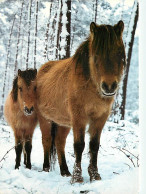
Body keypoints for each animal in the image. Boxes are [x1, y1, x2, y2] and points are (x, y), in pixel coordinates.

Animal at [36, 20, 125, 183]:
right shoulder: (79, 117)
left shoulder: (100, 118)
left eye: (119, 53)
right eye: (96, 55)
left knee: (60, 142)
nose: (109, 86)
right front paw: (77, 178)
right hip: (45, 119)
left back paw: (65, 171)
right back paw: (46, 169)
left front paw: (94, 175)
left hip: (63, 122)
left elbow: (94, 145)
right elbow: (79, 145)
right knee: (46, 140)